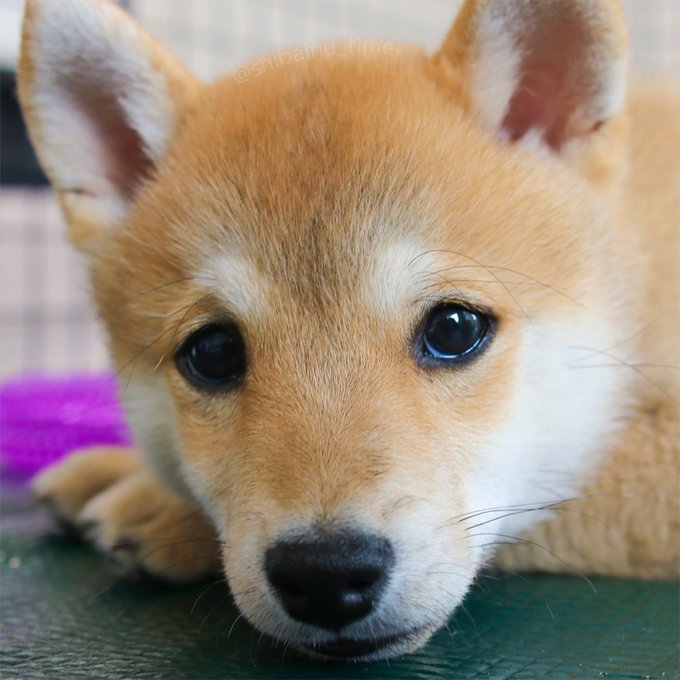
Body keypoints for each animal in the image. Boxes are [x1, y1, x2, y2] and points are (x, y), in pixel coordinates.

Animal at [18, 0, 676, 660]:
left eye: (455, 329)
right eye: (212, 352)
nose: (325, 574)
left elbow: (566, 484)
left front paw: (156, 505)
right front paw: (121, 470)